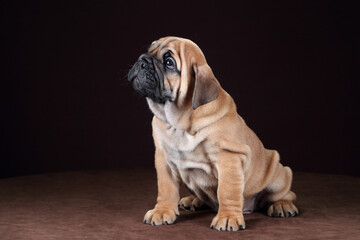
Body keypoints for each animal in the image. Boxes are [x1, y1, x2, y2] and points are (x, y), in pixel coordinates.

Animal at [128, 36, 296, 231]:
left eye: (169, 62)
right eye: (149, 50)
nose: (142, 60)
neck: (180, 121)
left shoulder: (228, 157)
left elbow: (227, 191)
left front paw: (228, 217)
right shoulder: (164, 159)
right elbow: (166, 188)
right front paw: (162, 211)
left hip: (278, 174)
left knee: (284, 194)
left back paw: (282, 205)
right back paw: (193, 200)